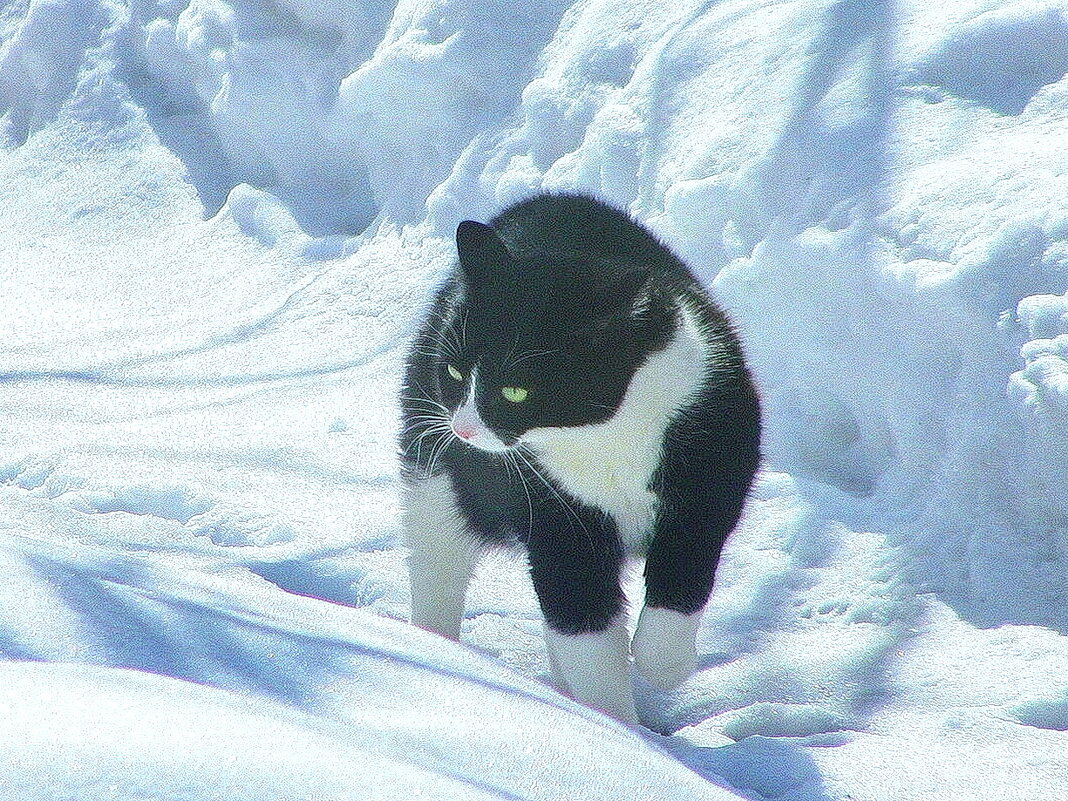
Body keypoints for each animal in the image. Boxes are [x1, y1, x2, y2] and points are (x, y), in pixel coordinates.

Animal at [399, 191, 760, 726]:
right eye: (455, 372)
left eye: (516, 391)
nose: (462, 428)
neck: (601, 439)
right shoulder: (554, 514)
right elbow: (583, 624)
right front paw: (613, 727)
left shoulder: (714, 472)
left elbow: (688, 564)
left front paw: (661, 663)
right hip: (437, 475)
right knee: (437, 560)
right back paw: (434, 649)